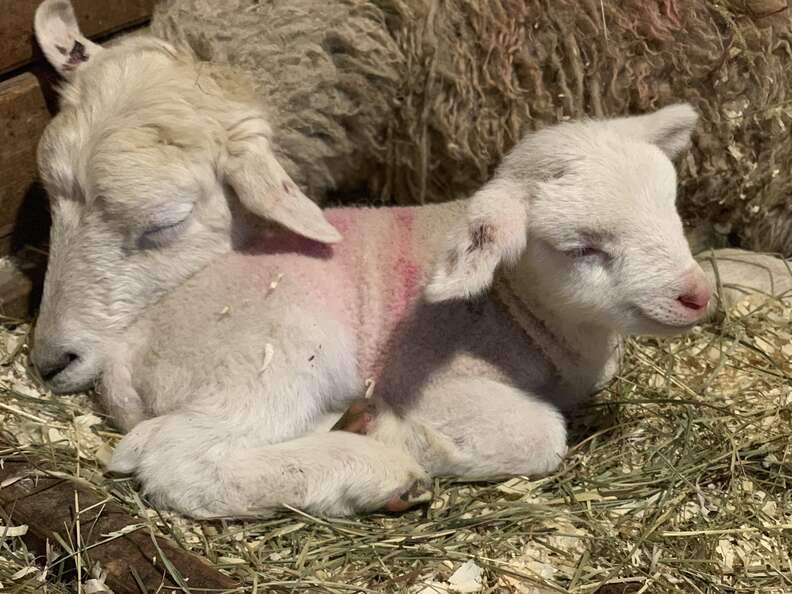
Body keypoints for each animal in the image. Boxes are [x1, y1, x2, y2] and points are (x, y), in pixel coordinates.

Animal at [31, 0, 791, 518]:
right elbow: (539, 434)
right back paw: (371, 466)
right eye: (584, 248)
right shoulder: (442, 379)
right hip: (273, 356)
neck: (520, 310)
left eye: (671, 209)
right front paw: (408, 434)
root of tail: (126, 355)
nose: (696, 295)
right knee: (173, 457)